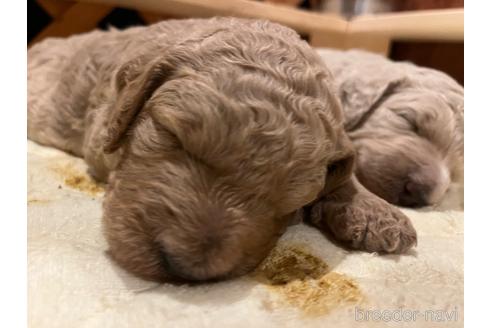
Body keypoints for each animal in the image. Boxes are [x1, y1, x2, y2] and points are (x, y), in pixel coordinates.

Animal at [27, 17, 416, 282]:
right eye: (172, 135)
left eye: (290, 203)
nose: (185, 269)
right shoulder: (101, 128)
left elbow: (347, 165)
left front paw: (375, 211)